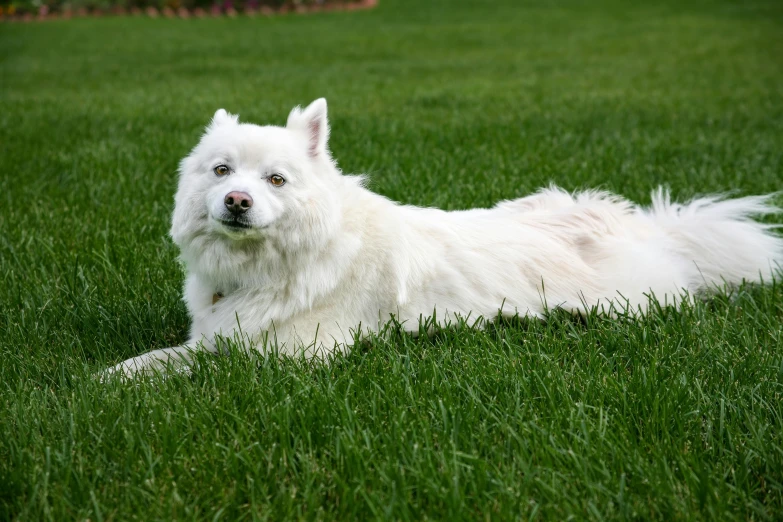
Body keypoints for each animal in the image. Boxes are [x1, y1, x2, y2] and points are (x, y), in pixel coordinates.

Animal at [110, 97, 783, 374]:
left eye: (276, 179)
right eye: (222, 171)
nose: (237, 201)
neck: (268, 270)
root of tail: (641, 223)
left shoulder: (287, 356)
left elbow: (191, 367)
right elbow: (159, 357)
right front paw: (109, 378)